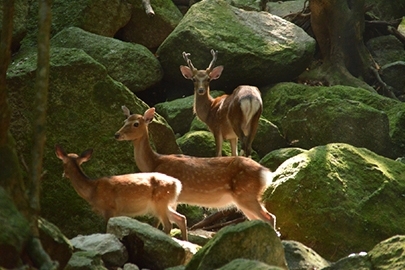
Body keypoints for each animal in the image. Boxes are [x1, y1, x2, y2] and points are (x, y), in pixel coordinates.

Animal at [54, 144, 188, 239]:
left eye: (63, 164)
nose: (63, 175)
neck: (92, 191)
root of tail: (177, 184)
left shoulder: (110, 208)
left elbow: (106, 231)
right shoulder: (117, 212)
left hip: (160, 201)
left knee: (169, 224)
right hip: (162, 204)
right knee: (181, 218)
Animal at [115, 106, 276, 230]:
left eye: (136, 124)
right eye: (124, 121)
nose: (117, 134)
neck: (154, 163)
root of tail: (266, 173)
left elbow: (158, 221)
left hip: (246, 194)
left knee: (270, 217)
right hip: (245, 199)